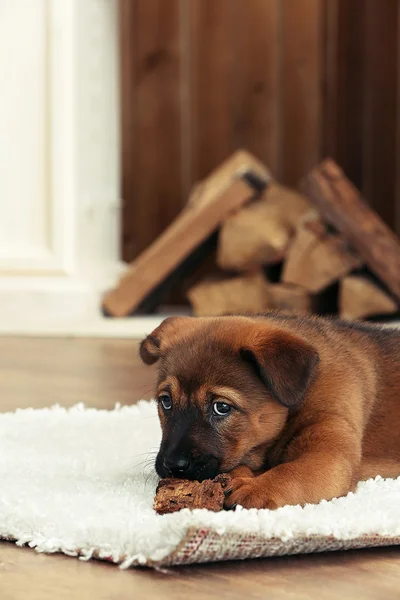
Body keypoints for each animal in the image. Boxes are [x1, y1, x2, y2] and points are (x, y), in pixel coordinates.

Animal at [138, 314, 400, 510]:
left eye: (221, 407)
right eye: (166, 402)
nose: (173, 466)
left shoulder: (330, 455)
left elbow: (291, 472)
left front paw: (256, 488)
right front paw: (242, 475)